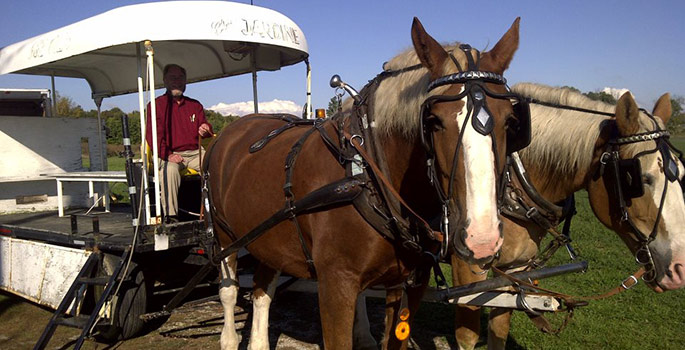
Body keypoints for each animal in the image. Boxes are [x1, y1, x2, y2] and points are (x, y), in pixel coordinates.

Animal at [206, 17, 520, 350]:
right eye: (433, 121)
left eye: (511, 121)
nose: (482, 238)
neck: (366, 174)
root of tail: (232, 130)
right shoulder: (336, 284)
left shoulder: (410, 283)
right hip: (225, 237)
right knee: (228, 291)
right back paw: (229, 337)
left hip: (267, 235)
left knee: (263, 291)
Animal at [448, 82, 684, 350]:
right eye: (639, 178)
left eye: (682, 173)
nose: (679, 269)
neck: (510, 183)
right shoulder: (467, 269)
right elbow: (467, 336)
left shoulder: (514, 269)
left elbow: (499, 329)